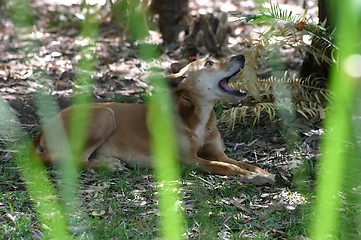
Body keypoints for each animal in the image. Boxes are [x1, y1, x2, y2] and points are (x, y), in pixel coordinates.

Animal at [33, 54, 274, 186]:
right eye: (209, 63)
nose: (241, 56)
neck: (199, 118)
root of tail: (43, 130)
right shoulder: (191, 160)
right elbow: (226, 167)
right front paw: (250, 176)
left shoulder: (218, 152)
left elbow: (243, 162)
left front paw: (262, 172)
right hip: (105, 115)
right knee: (72, 160)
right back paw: (108, 164)